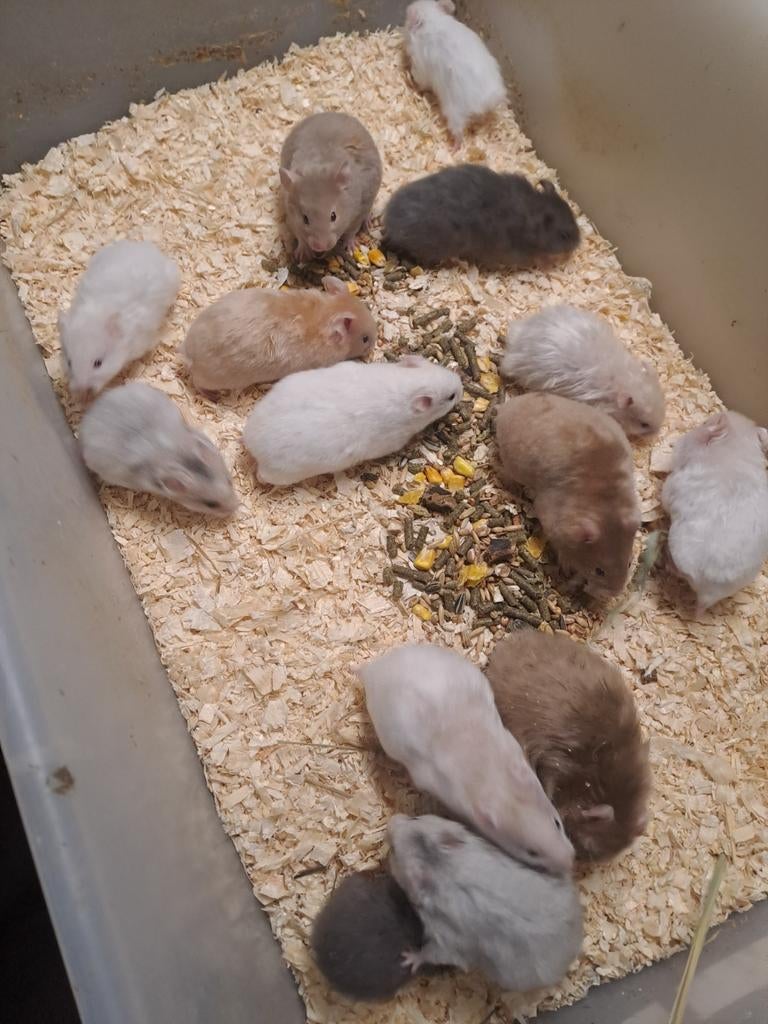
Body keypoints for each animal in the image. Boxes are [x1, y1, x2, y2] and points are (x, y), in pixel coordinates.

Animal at [280, 112, 383, 263]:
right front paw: (302, 254)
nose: (319, 247)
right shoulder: (291, 217)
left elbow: (351, 232)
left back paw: (368, 224)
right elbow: (300, 236)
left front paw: (351, 249)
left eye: (333, 216)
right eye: (305, 219)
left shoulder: (358, 211)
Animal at [388, 814, 583, 989]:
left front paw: (408, 958)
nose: (390, 823)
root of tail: (577, 943)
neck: (444, 869)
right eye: (414, 817)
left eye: (393, 852)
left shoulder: (446, 939)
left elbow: (430, 953)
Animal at [404, 0, 506, 145]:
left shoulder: (419, 67)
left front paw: (409, 81)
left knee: (458, 133)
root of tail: (488, 99)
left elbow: (419, 82)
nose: (408, 7)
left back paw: (454, 147)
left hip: (454, 112)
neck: (433, 19)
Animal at [496, 393, 640, 600]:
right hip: (513, 464)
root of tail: (507, 407)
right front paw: (567, 568)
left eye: (628, 564)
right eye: (599, 571)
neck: (606, 506)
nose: (612, 595)